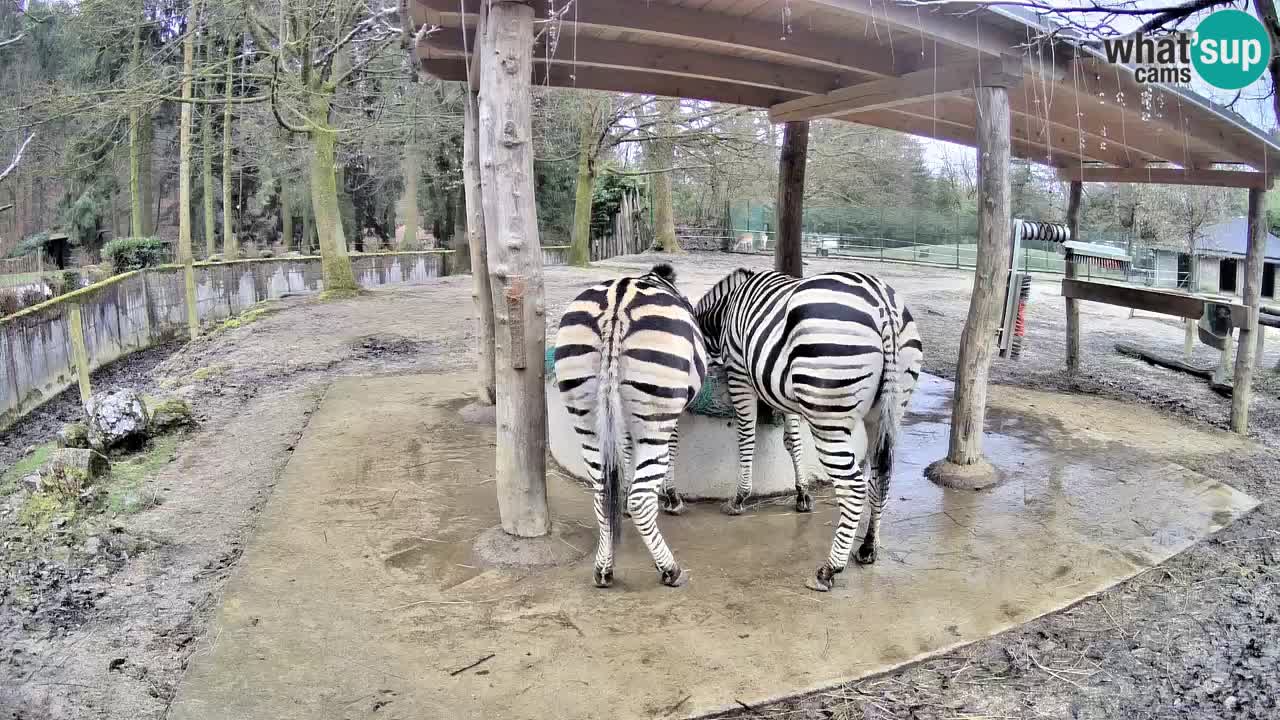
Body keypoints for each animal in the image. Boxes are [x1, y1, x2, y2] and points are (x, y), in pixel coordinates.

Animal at [552, 263, 711, 589]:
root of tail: (616, 306)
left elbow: (624, 455)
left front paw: (622, 499)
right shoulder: (671, 417)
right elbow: (670, 454)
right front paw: (672, 498)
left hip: (587, 418)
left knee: (601, 494)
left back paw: (603, 569)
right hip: (654, 416)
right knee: (642, 499)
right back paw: (670, 570)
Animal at [696, 266, 926, 591]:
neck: (725, 312)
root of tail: (883, 306)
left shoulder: (739, 373)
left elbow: (746, 436)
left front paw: (740, 498)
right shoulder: (783, 387)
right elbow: (793, 439)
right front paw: (802, 495)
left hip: (828, 413)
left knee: (853, 487)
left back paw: (829, 569)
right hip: (887, 409)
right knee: (881, 477)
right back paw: (868, 547)